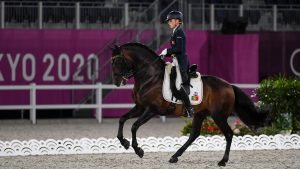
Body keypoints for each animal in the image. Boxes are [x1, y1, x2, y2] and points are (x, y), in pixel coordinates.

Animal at [109, 42, 268, 166]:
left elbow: (134, 126)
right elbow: (122, 119)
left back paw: (223, 161)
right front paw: (124, 143)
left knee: (228, 134)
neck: (150, 77)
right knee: (194, 134)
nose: (116, 81)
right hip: (200, 114)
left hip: (219, 116)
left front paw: (138, 150)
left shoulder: (151, 110)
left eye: (118, 61)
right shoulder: (140, 107)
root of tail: (229, 86)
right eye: (112, 62)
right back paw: (174, 156)